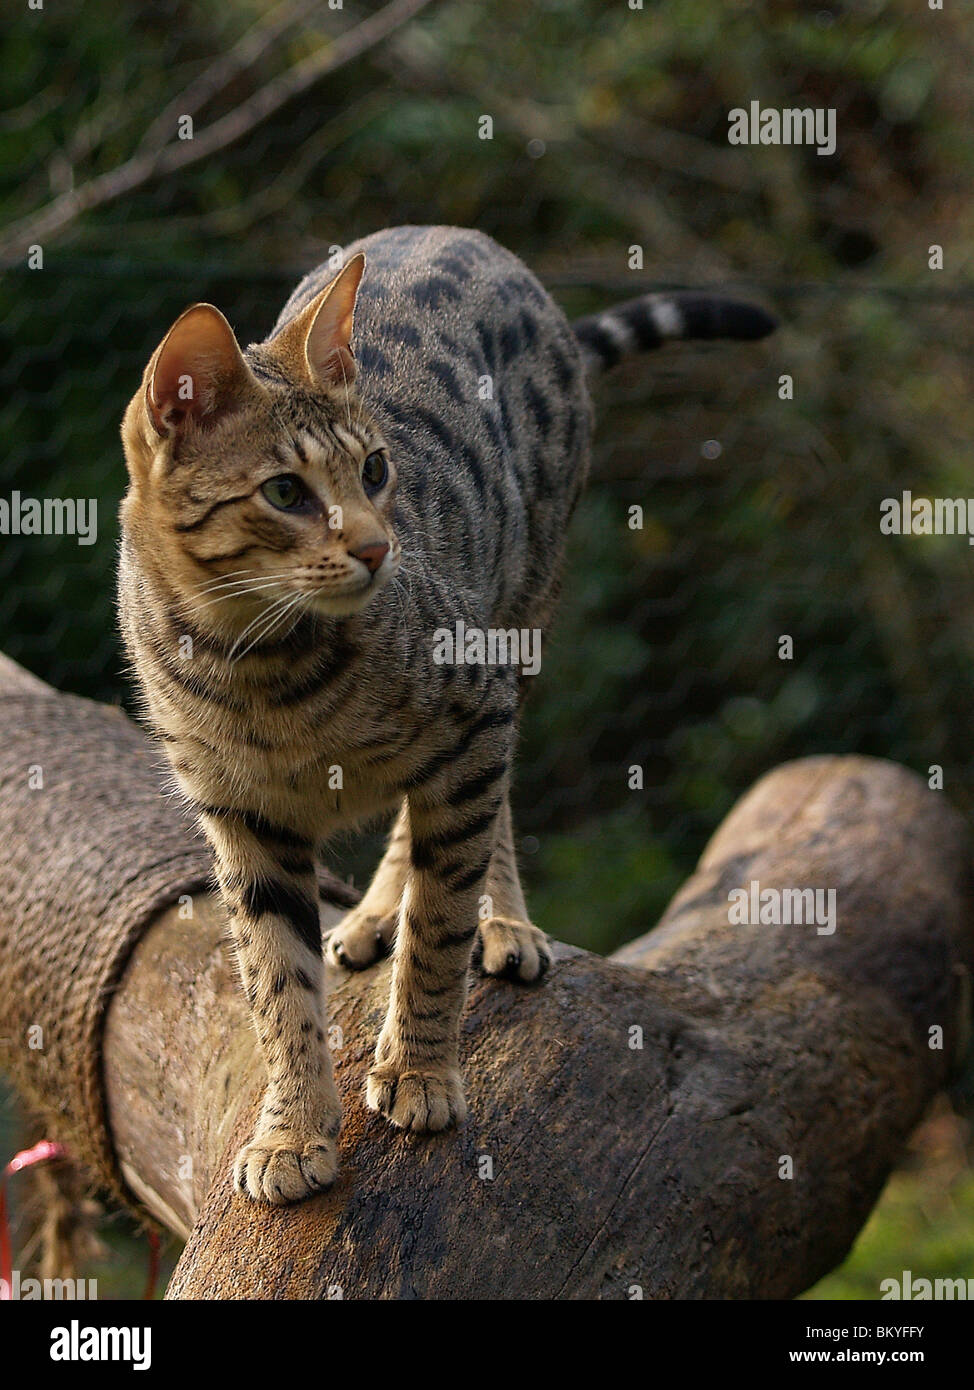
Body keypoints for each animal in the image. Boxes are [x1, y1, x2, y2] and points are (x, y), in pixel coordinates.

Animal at [118, 222, 772, 1200]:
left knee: (474, 830)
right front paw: (291, 1128)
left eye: (376, 470)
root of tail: (477, 242)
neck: (256, 665)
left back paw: (502, 925)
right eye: (285, 493)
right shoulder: (241, 817)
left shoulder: (474, 717)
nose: (378, 547)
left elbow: (440, 922)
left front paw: (420, 1068)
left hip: (522, 611)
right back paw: (370, 918)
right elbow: (275, 981)